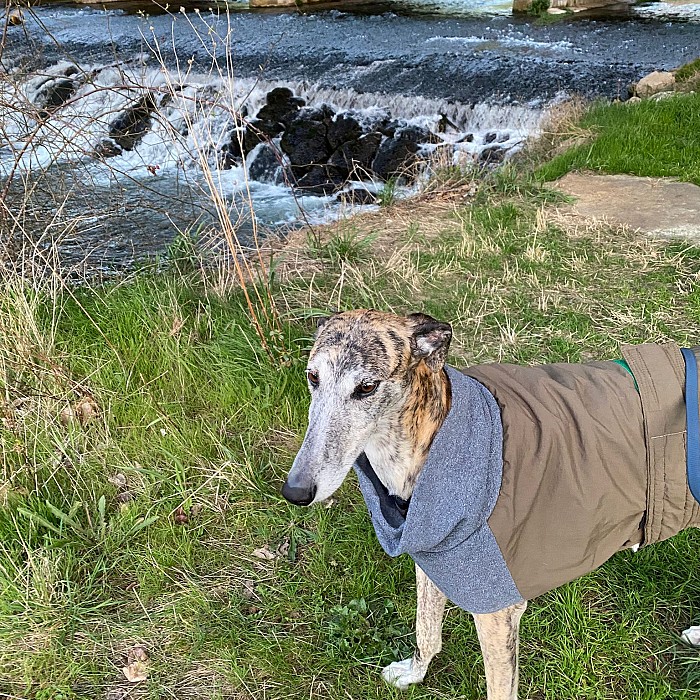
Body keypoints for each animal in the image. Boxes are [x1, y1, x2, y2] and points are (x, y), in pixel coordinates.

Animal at [282, 309, 700, 699]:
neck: (430, 438)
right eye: (312, 377)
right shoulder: (434, 561)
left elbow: (499, 686)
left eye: (367, 387)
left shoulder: (498, 612)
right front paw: (413, 674)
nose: (295, 491)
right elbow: (426, 630)